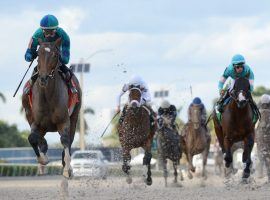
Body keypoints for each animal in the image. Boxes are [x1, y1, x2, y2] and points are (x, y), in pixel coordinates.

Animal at [21, 38, 81, 178]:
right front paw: (43, 159)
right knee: (40, 138)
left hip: (74, 116)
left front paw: (67, 169)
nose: (43, 78)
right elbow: (32, 138)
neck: (47, 97)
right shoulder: (36, 122)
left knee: (70, 139)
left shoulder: (63, 121)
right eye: (38, 55)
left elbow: (65, 140)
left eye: (55, 55)